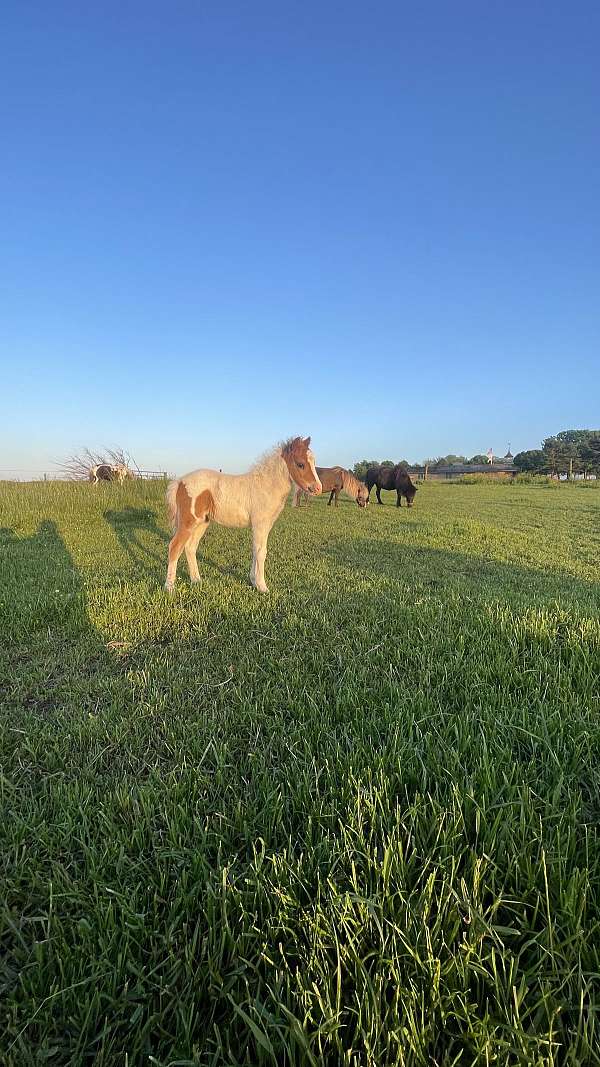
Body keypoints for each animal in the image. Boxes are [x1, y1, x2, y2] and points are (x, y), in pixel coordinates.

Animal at [163, 437, 320, 597]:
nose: (318, 488)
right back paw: (169, 588)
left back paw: (196, 580)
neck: (267, 486)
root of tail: (180, 481)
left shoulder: (264, 526)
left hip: (202, 522)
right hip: (188, 522)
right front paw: (262, 586)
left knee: (190, 547)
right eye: (300, 464)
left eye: (314, 462)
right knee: (175, 546)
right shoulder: (260, 524)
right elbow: (261, 552)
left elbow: (255, 551)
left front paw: (253, 581)